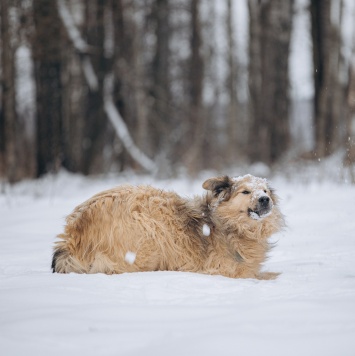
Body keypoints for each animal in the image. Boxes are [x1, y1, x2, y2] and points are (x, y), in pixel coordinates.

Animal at [52, 174, 286, 280]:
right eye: (245, 192)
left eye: (265, 190)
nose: (265, 199)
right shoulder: (225, 271)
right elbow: (261, 275)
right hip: (147, 231)